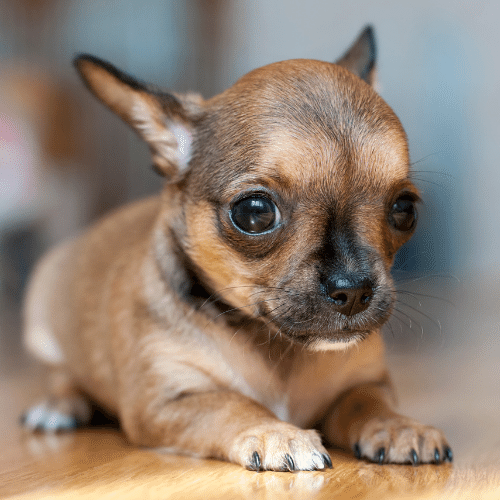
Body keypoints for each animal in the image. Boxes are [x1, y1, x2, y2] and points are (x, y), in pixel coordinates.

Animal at [22, 26, 454, 472]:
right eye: (254, 212)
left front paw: (399, 425)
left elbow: (367, 403)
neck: (277, 346)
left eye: (404, 209)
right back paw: (58, 406)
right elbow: (231, 405)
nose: (353, 290)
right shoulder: (167, 402)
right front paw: (275, 432)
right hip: (43, 325)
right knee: (61, 375)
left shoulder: (367, 381)